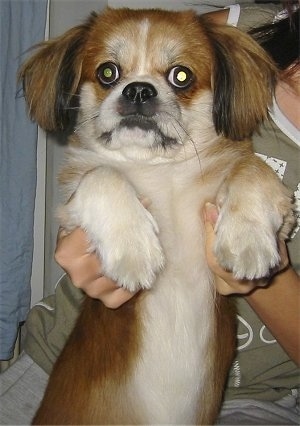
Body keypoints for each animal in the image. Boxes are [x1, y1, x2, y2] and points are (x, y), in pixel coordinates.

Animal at [19, 7, 294, 426]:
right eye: (108, 72)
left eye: (181, 76)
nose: (138, 90)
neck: (159, 170)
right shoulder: (72, 204)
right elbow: (103, 174)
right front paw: (133, 251)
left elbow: (251, 167)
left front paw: (247, 242)